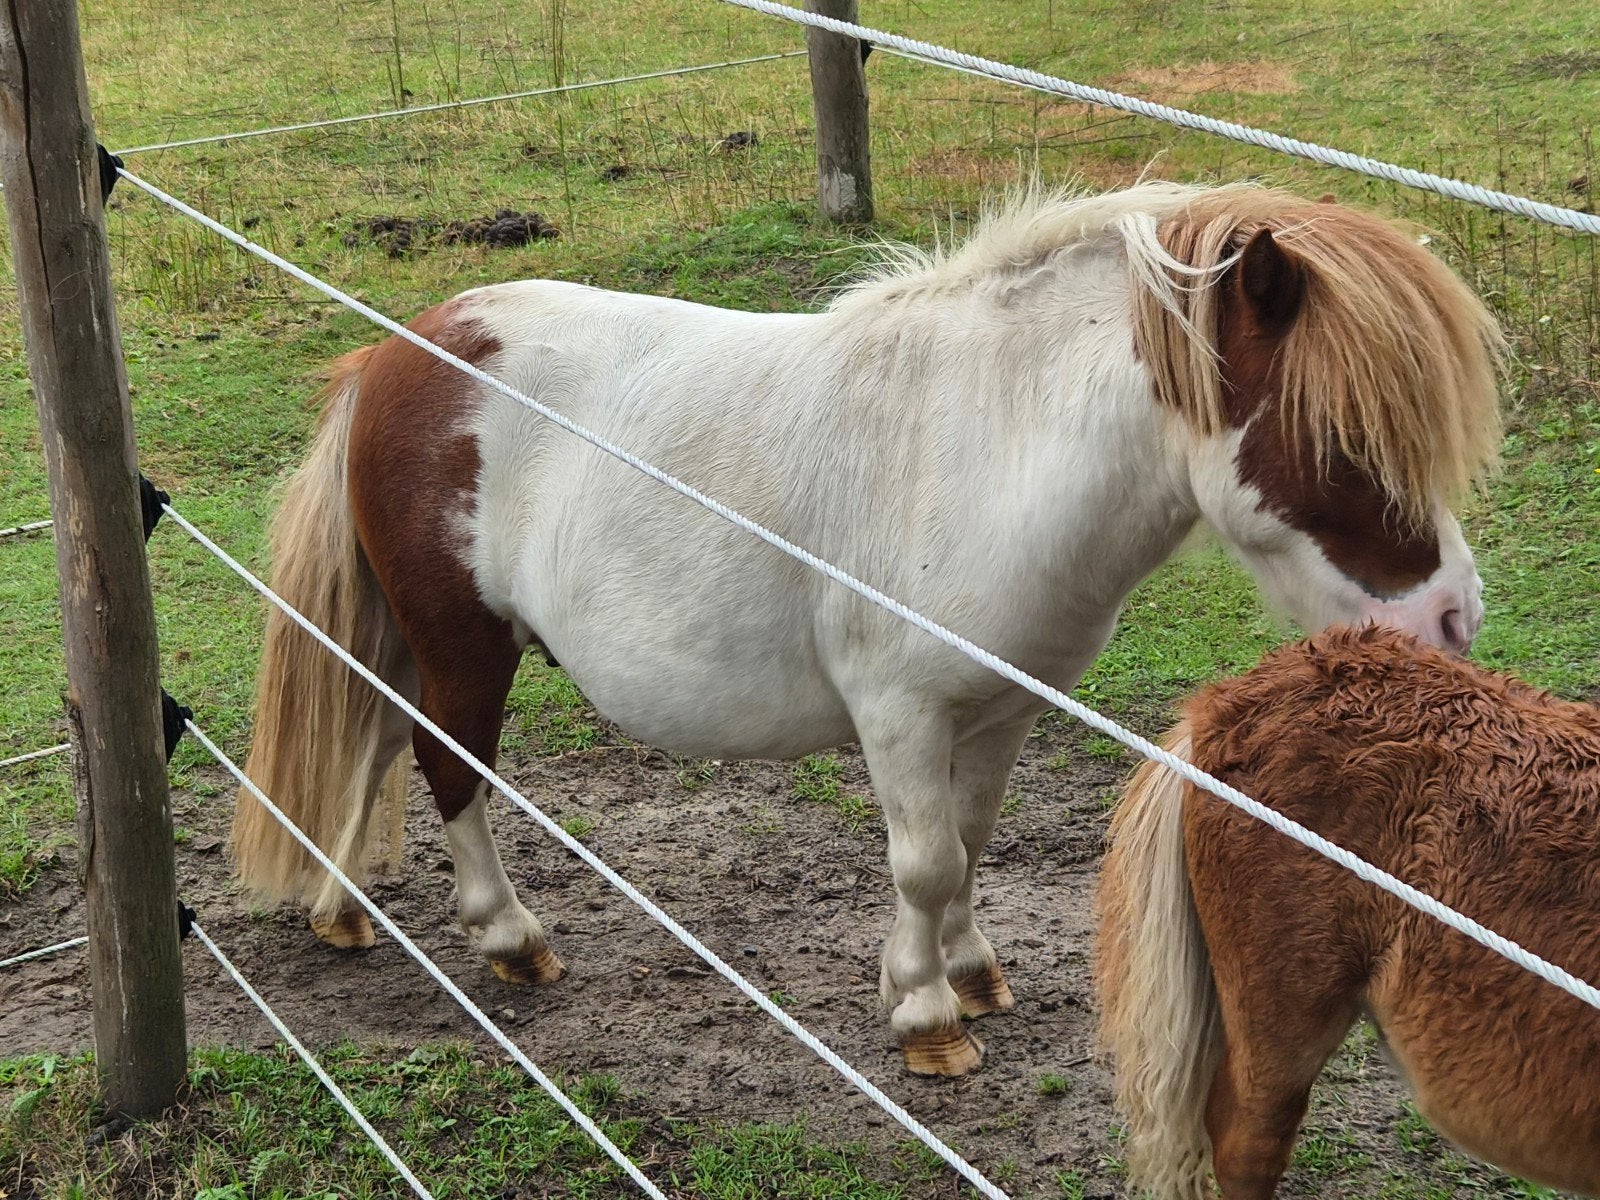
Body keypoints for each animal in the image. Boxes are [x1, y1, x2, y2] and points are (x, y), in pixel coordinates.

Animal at [232, 180, 1503, 1076]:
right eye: (1339, 441)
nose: (1451, 616)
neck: (985, 446)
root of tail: (396, 352)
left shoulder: (999, 709)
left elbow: (969, 847)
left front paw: (966, 974)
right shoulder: (898, 712)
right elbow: (924, 859)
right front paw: (928, 1018)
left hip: (412, 640)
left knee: (372, 742)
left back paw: (341, 910)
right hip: (463, 644)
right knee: (447, 766)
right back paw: (506, 938)